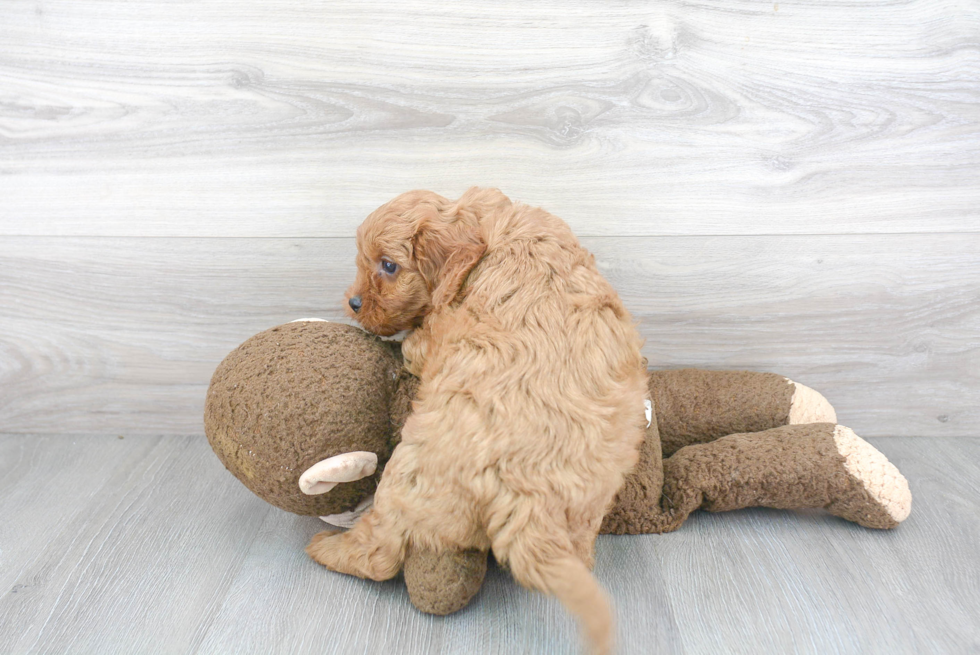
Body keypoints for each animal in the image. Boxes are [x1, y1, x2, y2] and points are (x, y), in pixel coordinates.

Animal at [310, 187, 652, 652]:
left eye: (389, 265)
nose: (354, 303)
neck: (487, 230)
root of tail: (527, 499)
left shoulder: (434, 335)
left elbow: (416, 345)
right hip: (591, 501)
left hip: (405, 477)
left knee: (379, 553)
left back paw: (327, 548)